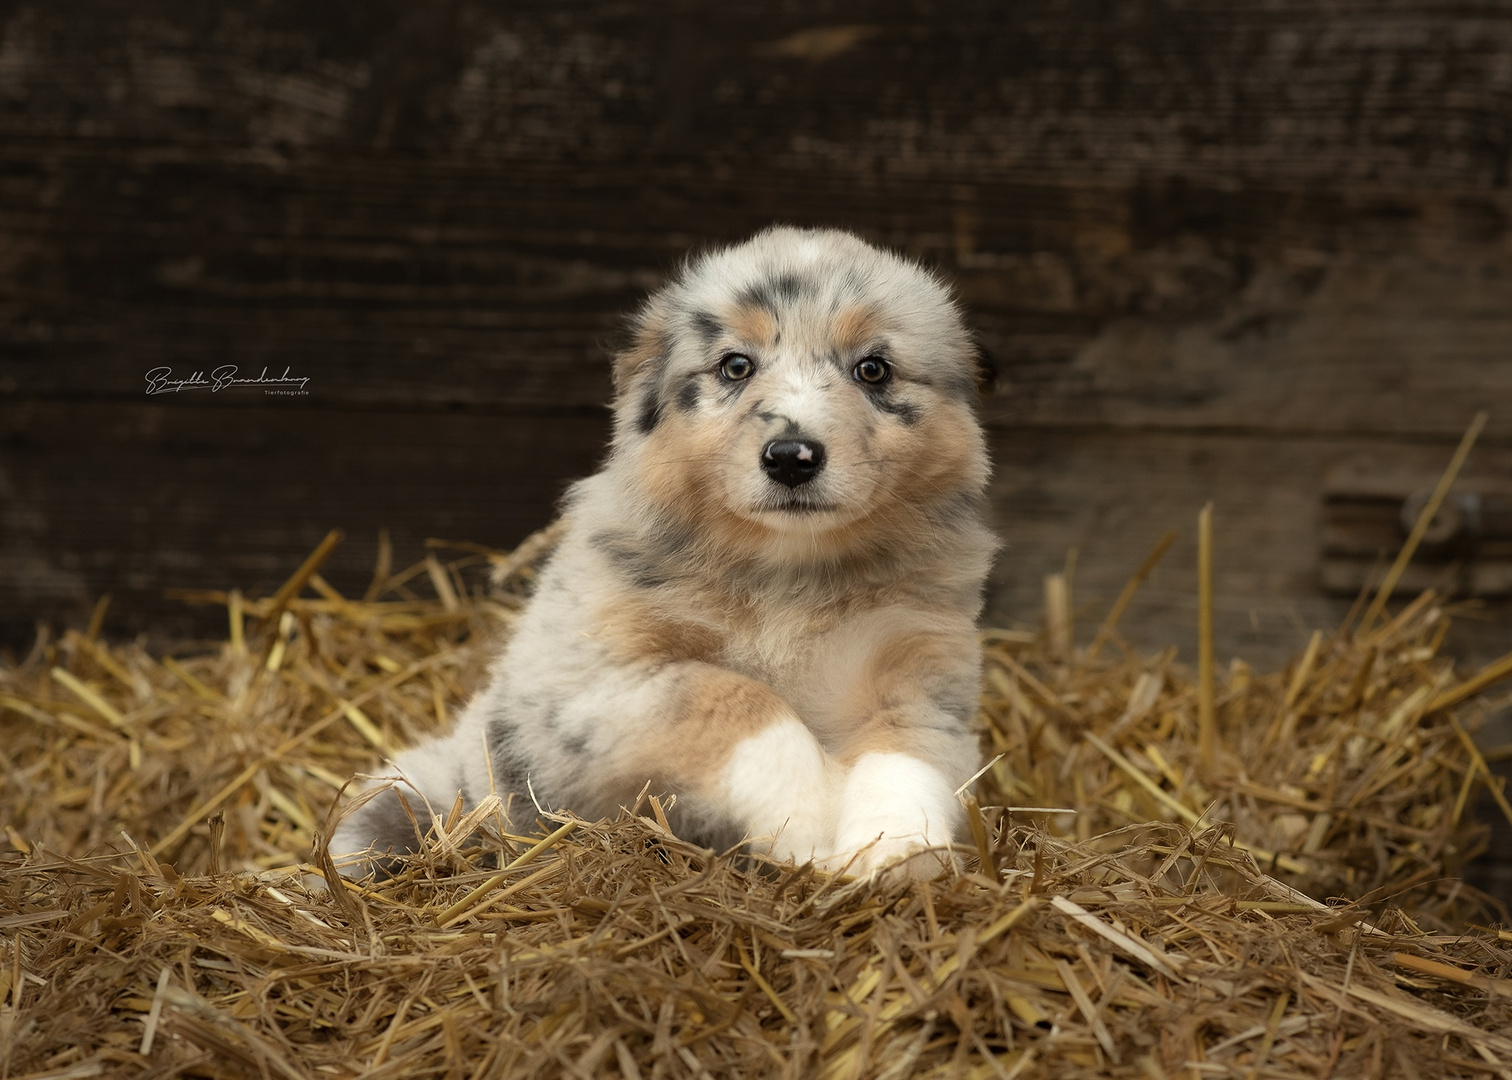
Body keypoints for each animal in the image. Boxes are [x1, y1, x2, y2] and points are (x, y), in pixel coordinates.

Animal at [328, 222, 991, 877]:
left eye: (873, 370)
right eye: (735, 366)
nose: (790, 457)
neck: (789, 574)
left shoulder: (923, 680)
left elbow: (906, 761)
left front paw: (891, 851)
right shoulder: (595, 682)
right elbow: (737, 698)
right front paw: (806, 822)